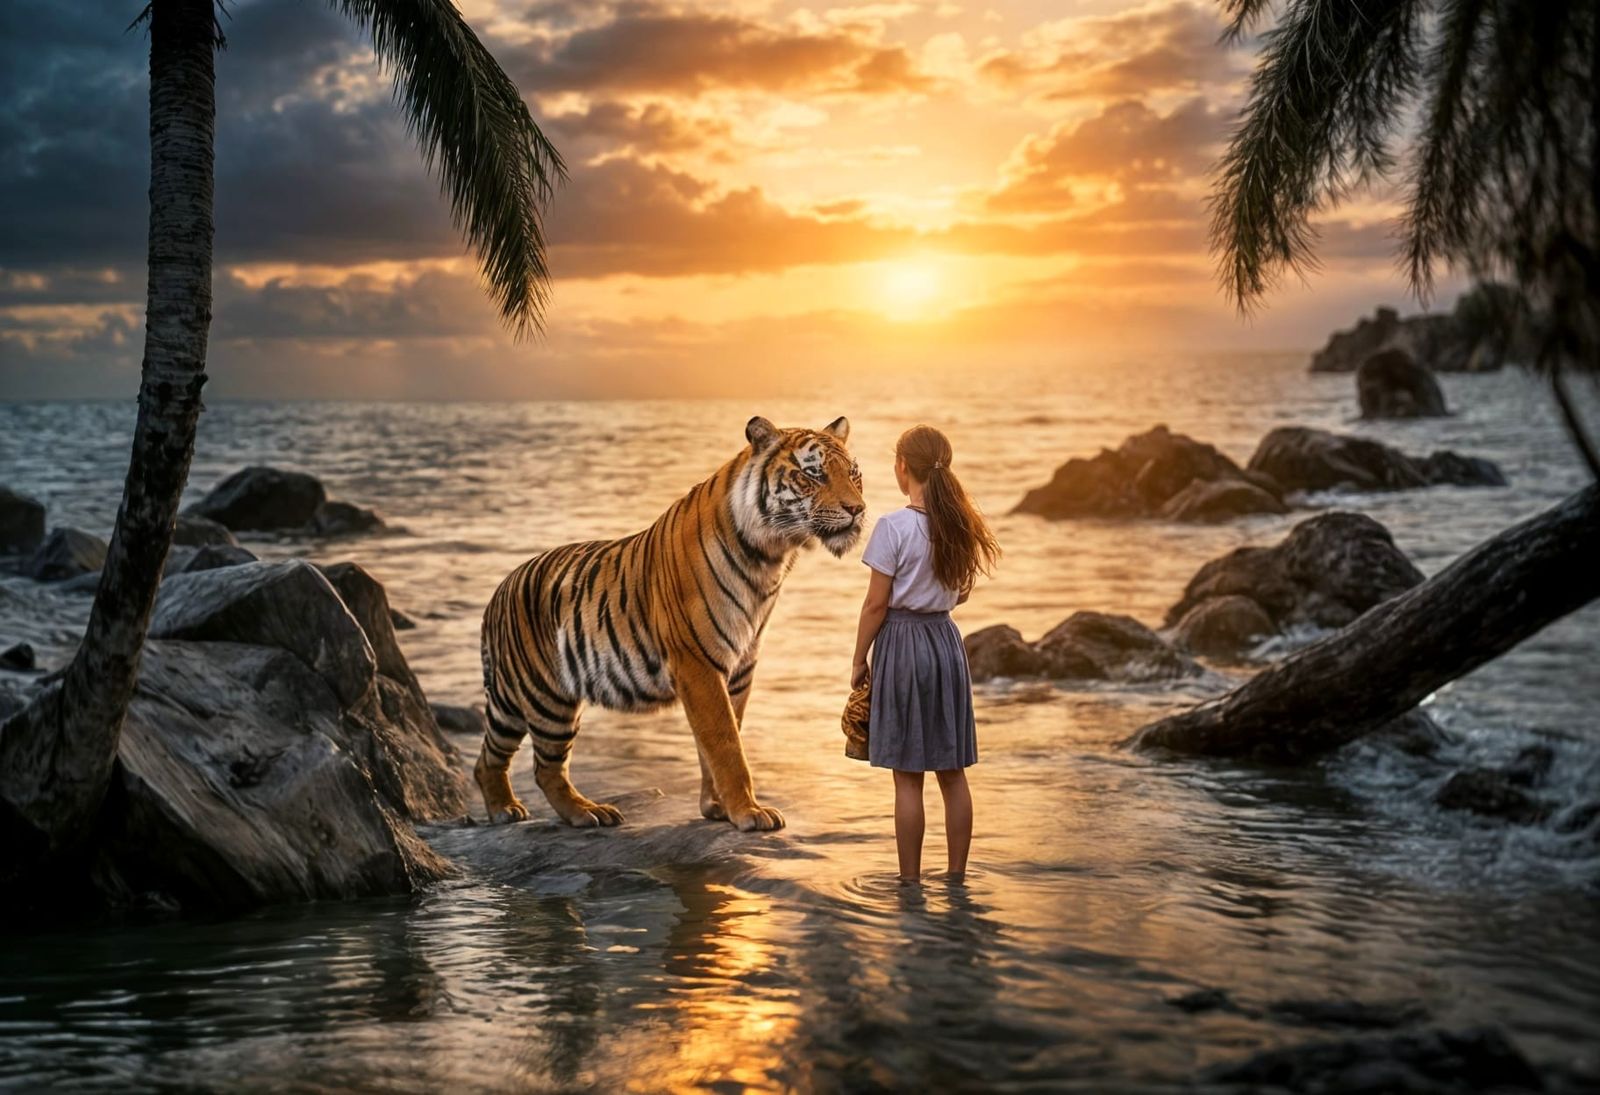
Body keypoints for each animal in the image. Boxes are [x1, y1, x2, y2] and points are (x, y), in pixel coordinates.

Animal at [475, 415, 866, 832]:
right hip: (542, 694)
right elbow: (726, 744)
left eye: (853, 474)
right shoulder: (698, 664)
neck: (769, 556)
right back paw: (564, 811)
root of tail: (500, 589)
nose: (857, 509)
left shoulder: (739, 669)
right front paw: (749, 812)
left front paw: (718, 807)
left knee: (505, 761)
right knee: (532, 765)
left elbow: (719, 739)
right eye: (813, 474)